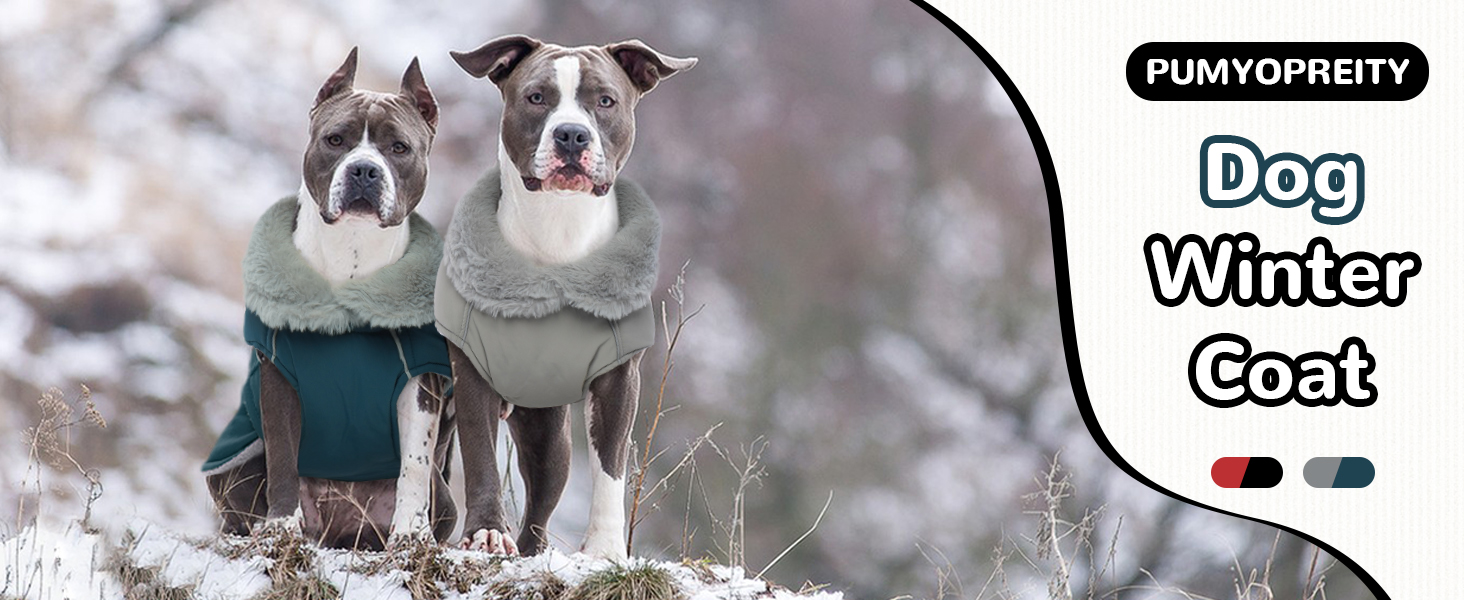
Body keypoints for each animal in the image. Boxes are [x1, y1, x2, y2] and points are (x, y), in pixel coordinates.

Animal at [202, 49, 450, 550]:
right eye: (335, 140)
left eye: (399, 148)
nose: (364, 169)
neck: (352, 255)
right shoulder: (278, 374)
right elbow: (283, 453)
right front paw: (281, 524)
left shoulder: (421, 382)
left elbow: (415, 462)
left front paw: (412, 533)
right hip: (234, 462)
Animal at [447, 36, 693, 561]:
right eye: (537, 97)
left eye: (606, 100)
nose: (572, 136)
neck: (557, 231)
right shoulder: (471, 369)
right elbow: (479, 454)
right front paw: (486, 531)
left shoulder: (619, 379)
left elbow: (610, 470)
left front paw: (605, 549)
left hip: (548, 434)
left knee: (541, 507)